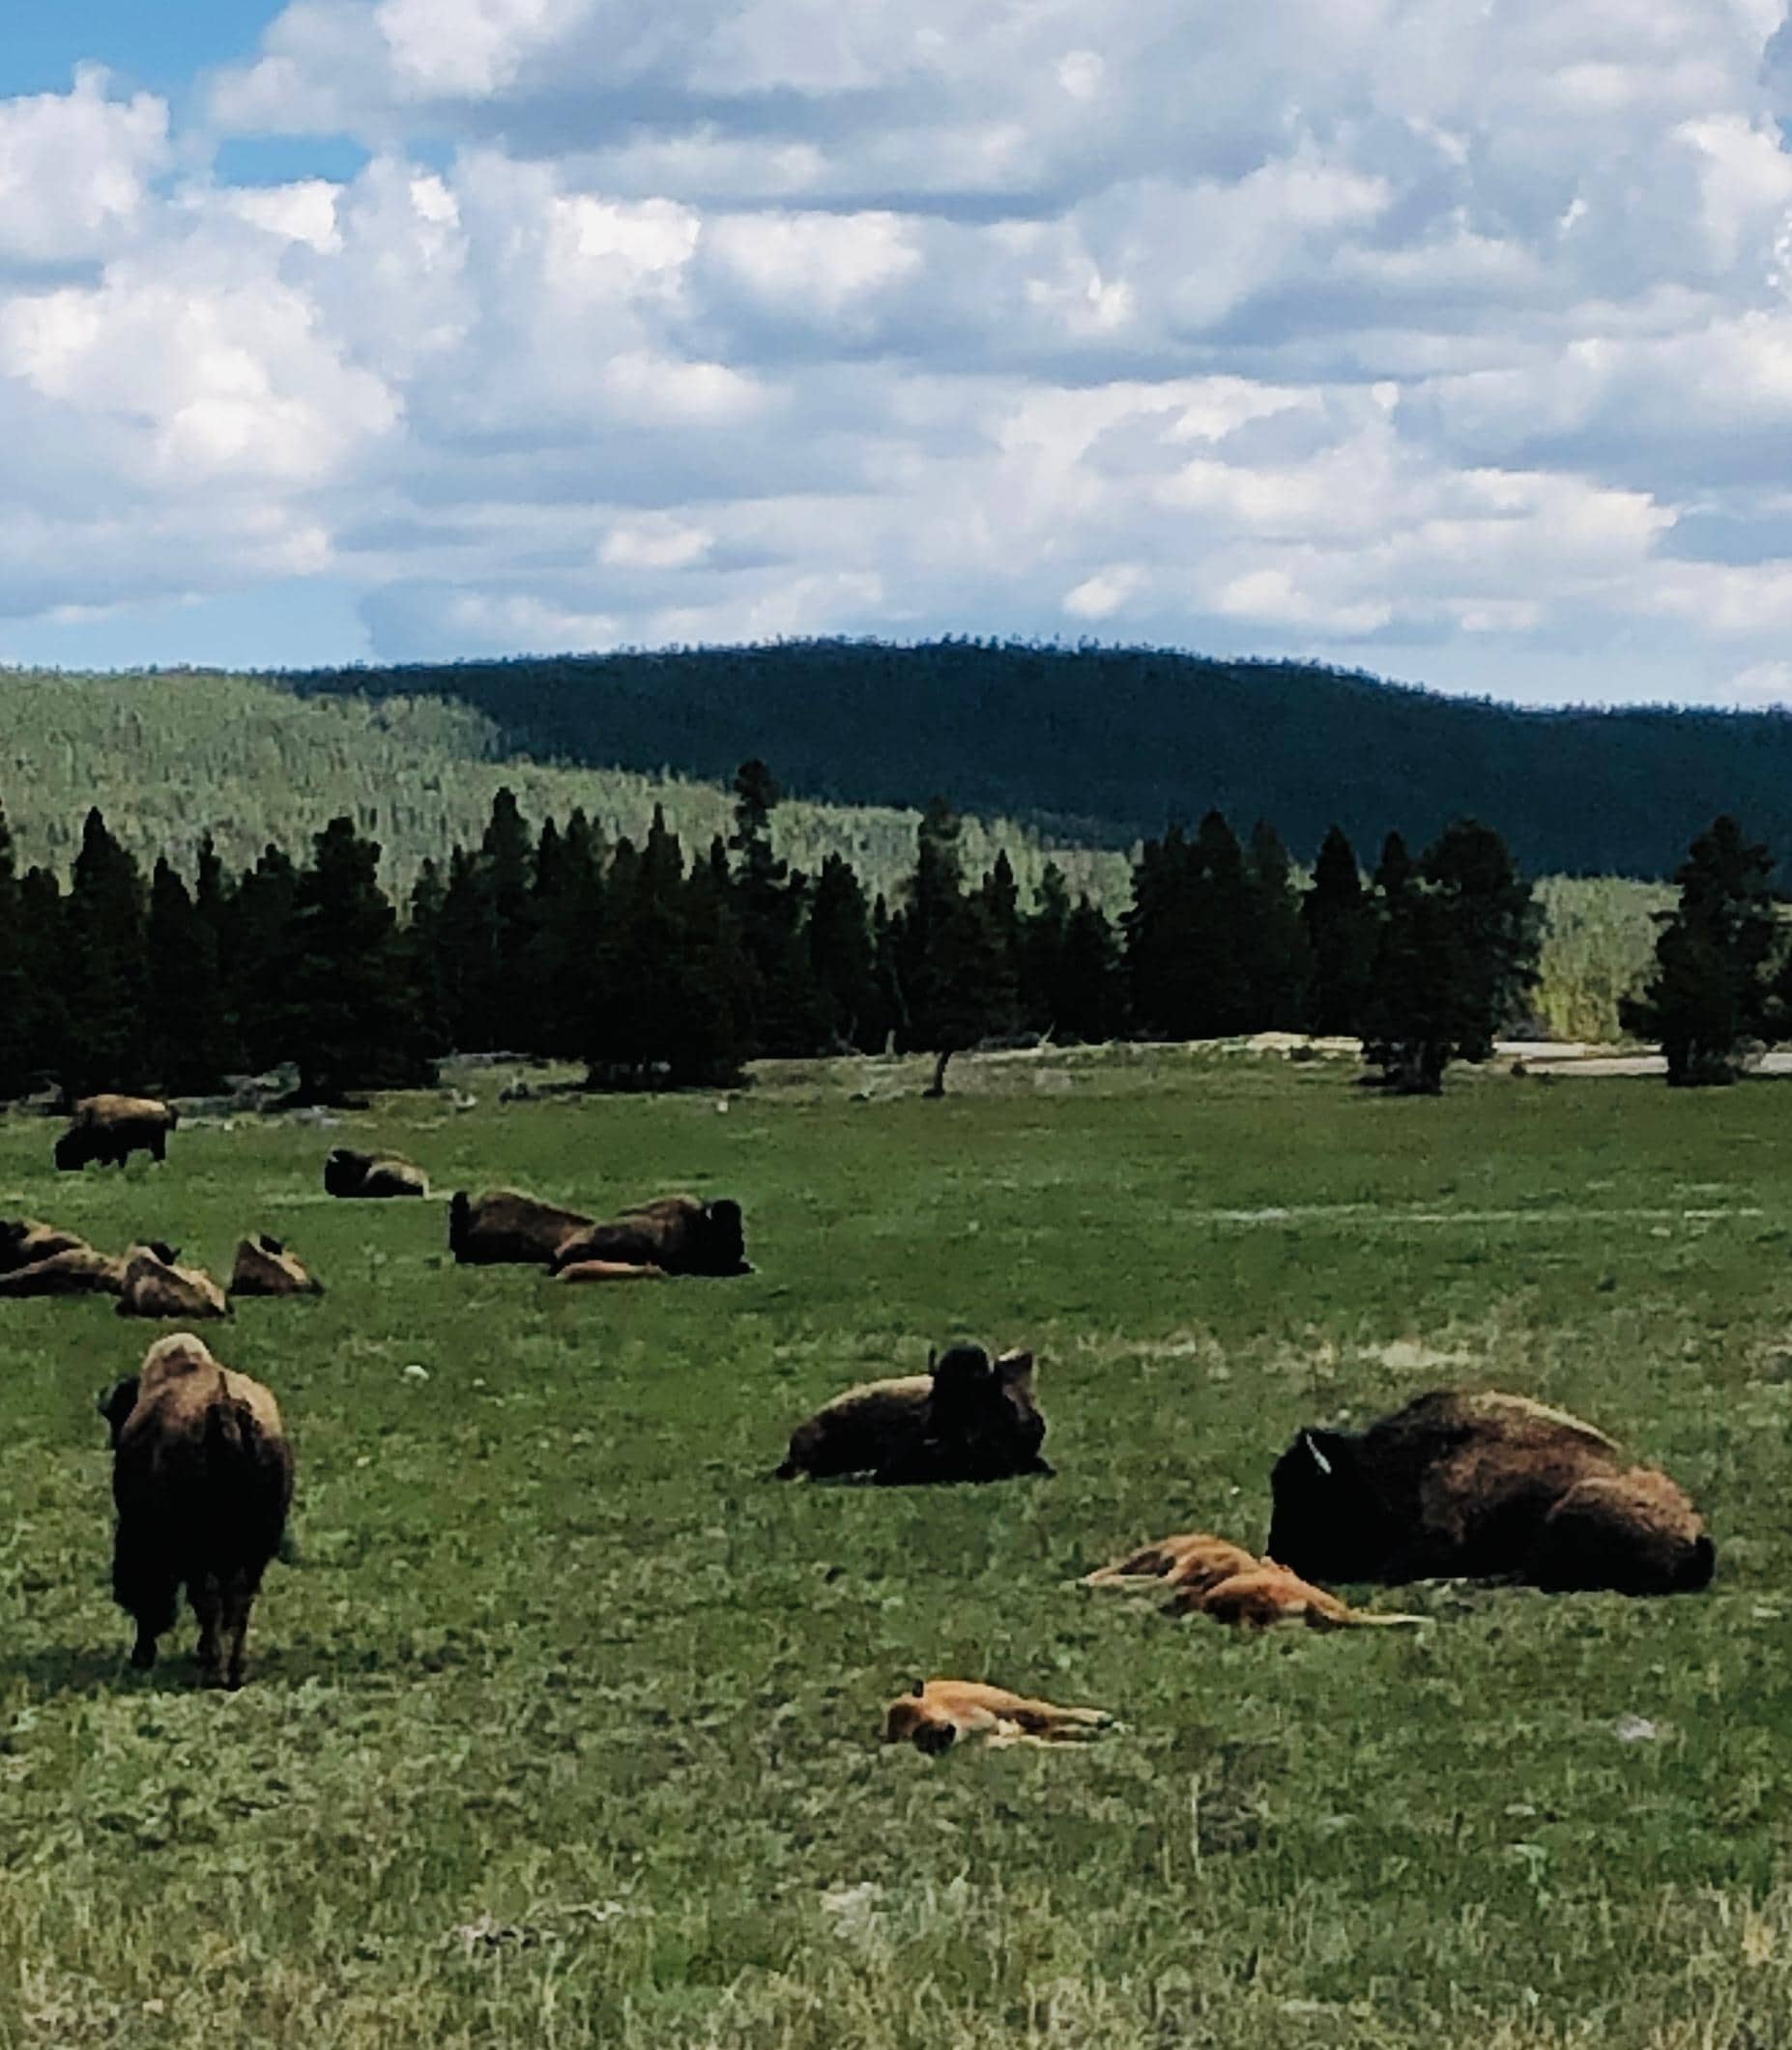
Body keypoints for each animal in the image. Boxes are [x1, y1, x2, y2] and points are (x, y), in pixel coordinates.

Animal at [55, 1095, 179, 1171]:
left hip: (157, 1142)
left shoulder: (114, 1151)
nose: (61, 1167)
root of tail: (162, 1107)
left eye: (66, 1150)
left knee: (159, 1156)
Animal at [100, 1332, 293, 1688]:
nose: (120, 1592)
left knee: (210, 1599)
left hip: (198, 1550)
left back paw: (212, 1667)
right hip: (256, 1548)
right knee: (239, 1601)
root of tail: (225, 1408)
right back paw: (234, 1670)